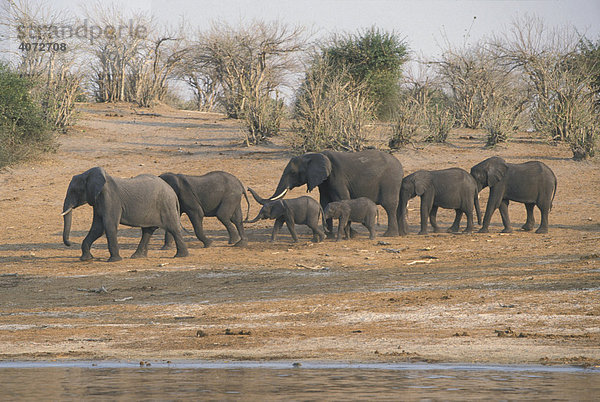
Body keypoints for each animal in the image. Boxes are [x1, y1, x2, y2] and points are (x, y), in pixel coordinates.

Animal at [248, 148, 404, 236]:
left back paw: (389, 235)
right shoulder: (323, 181)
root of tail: (400, 165)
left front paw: (351, 234)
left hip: (390, 181)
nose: (248, 188)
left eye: (292, 173)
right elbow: (324, 202)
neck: (315, 155)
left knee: (389, 206)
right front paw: (329, 234)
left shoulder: (337, 176)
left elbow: (342, 198)